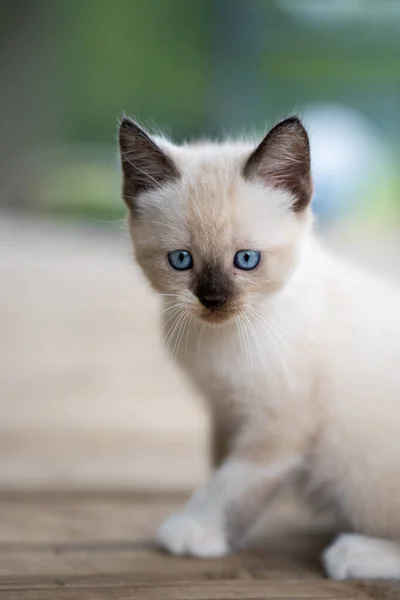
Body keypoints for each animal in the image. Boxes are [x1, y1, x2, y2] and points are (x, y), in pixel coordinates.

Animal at [119, 115, 400, 580]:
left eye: (246, 260)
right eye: (181, 260)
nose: (213, 300)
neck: (224, 340)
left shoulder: (278, 423)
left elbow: (232, 483)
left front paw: (195, 531)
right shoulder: (225, 411)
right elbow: (220, 471)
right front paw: (218, 532)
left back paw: (354, 552)